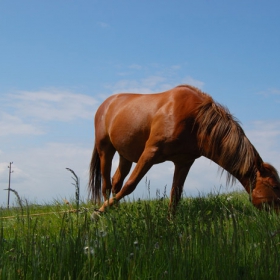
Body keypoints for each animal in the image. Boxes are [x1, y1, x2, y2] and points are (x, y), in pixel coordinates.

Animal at [88, 84, 280, 215]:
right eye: (274, 186)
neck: (196, 120)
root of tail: (106, 104)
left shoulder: (184, 162)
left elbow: (176, 195)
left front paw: (170, 225)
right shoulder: (150, 153)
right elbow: (130, 185)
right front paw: (98, 213)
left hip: (125, 156)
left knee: (116, 181)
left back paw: (116, 210)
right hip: (105, 150)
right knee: (106, 185)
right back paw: (105, 211)